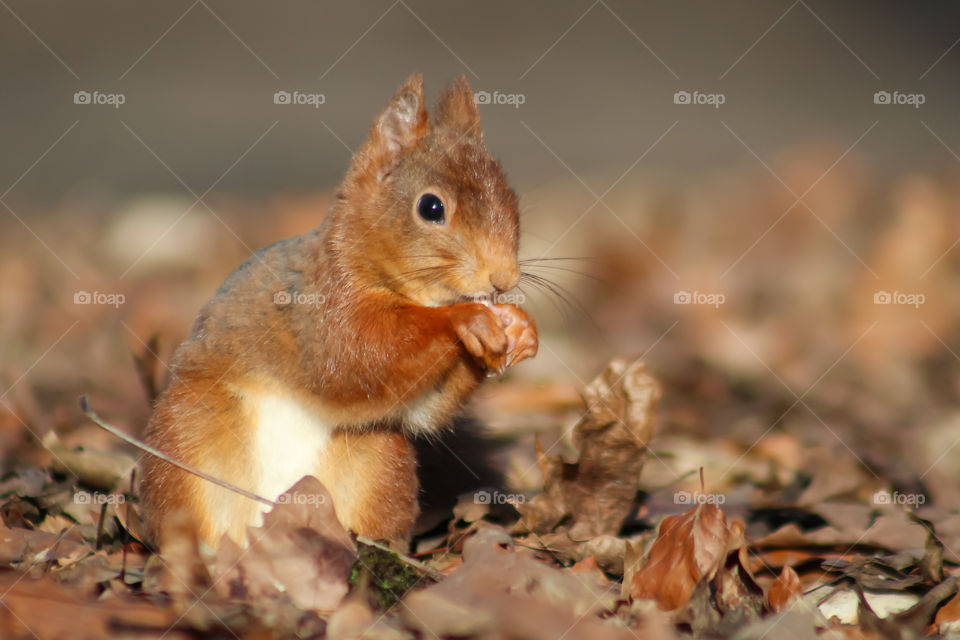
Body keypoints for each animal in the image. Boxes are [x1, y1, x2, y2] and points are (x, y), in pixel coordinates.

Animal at [138, 74, 536, 544]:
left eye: (512, 200)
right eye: (431, 207)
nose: (504, 278)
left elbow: (422, 410)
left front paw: (521, 328)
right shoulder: (318, 308)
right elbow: (355, 357)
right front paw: (464, 318)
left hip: (379, 459)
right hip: (187, 434)